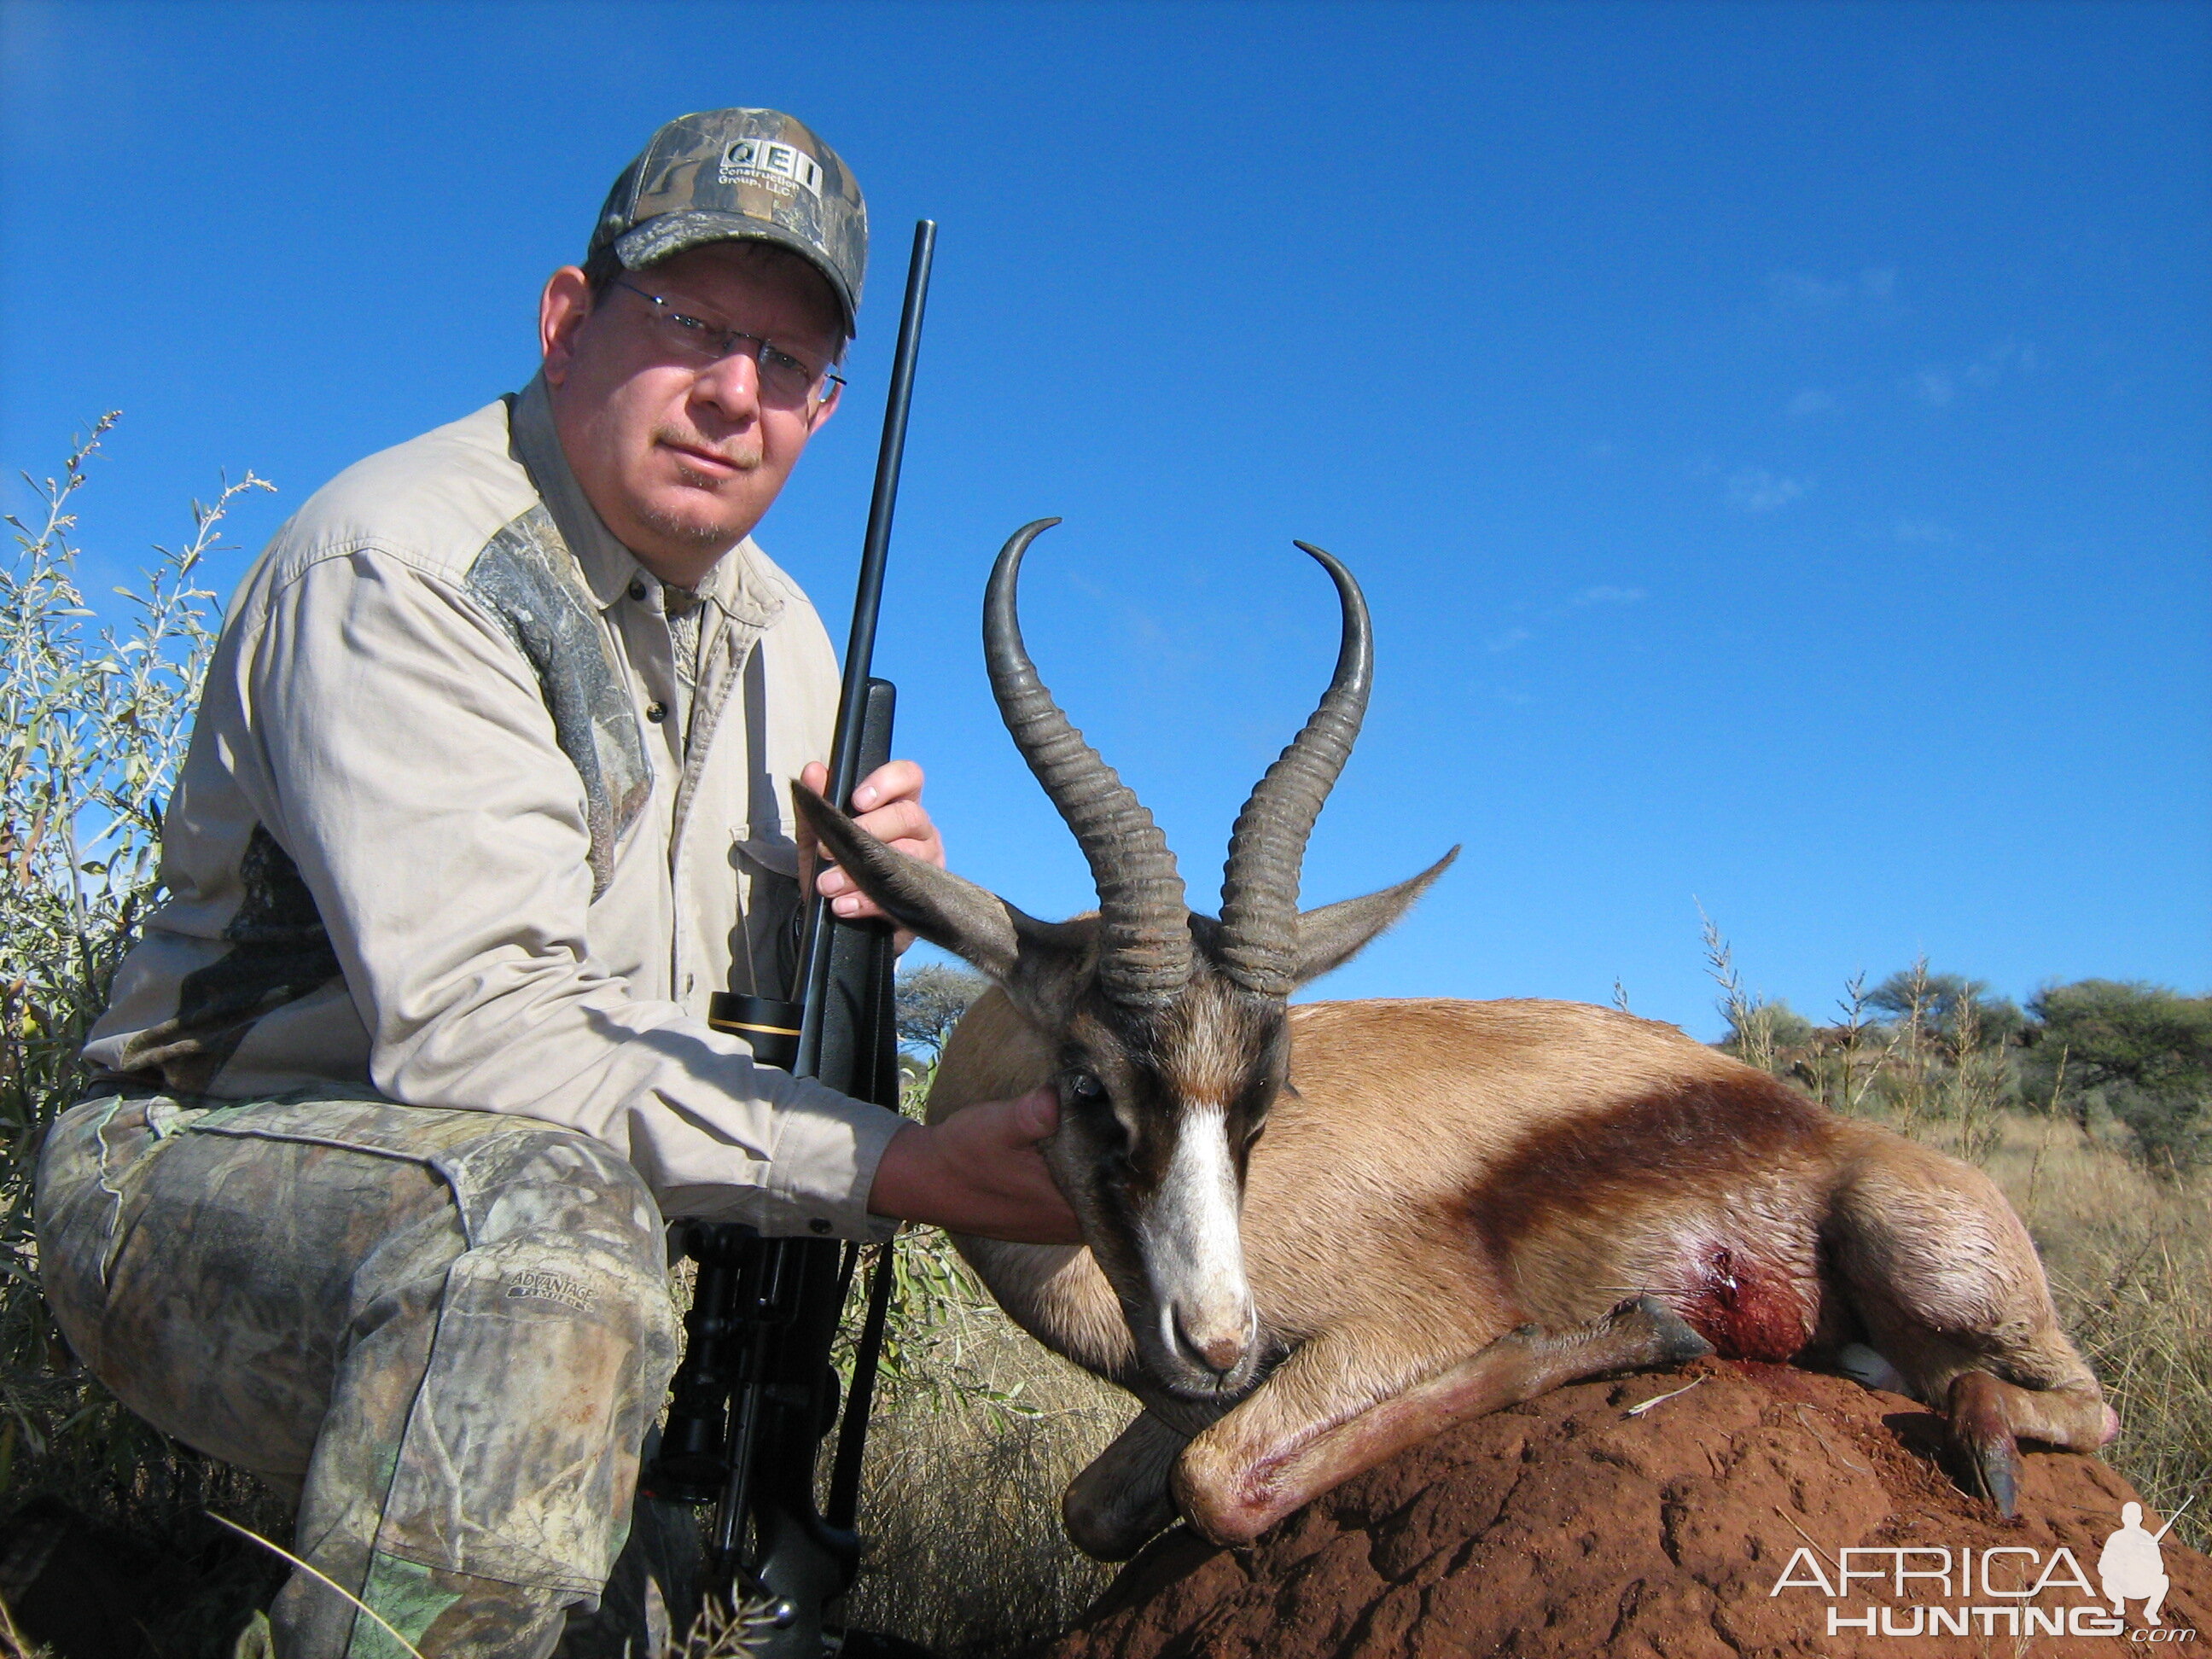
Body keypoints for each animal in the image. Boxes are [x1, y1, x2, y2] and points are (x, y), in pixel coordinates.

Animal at [805, 526, 2114, 1566]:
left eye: (1270, 1098)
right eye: (1089, 1082)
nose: (1217, 1342)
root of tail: (1829, 1130)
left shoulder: (1393, 1330)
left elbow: (1218, 1483)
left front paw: (1636, 1328)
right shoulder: (1179, 1399)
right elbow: (1097, 1508)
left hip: (1930, 1264)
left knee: (2077, 1405)